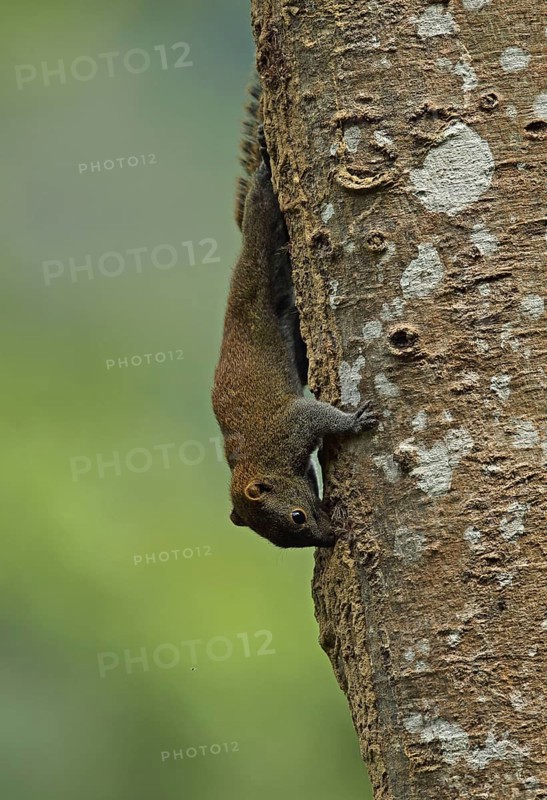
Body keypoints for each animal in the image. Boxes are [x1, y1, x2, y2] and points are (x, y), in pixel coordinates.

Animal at [211, 76, 377, 549]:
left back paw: (266, 167)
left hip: (260, 240)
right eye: (282, 540)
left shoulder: (291, 427)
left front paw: (353, 421)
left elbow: (319, 415)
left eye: (297, 517)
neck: (259, 461)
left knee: (261, 205)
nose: (328, 539)